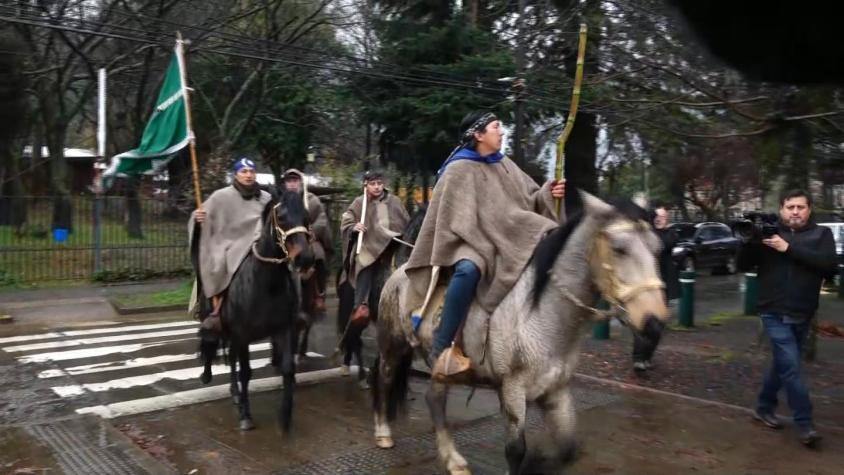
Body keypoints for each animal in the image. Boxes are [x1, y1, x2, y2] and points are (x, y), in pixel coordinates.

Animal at [194, 190, 314, 432]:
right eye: (281, 216)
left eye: (306, 216)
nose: (305, 258)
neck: (266, 283)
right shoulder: (243, 333)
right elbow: (246, 372)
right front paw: (245, 416)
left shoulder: (283, 329)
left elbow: (287, 368)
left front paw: (285, 416)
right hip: (215, 321)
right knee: (211, 345)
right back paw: (208, 375)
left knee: (231, 358)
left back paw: (234, 393)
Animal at [370, 193, 664, 475]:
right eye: (619, 249)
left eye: (656, 248)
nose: (654, 324)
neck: (539, 314)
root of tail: (398, 272)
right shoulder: (512, 390)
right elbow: (515, 450)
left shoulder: (556, 391)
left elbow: (568, 449)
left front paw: (539, 462)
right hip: (392, 345)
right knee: (386, 378)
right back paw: (384, 433)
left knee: (434, 399)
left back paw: (453, 460)